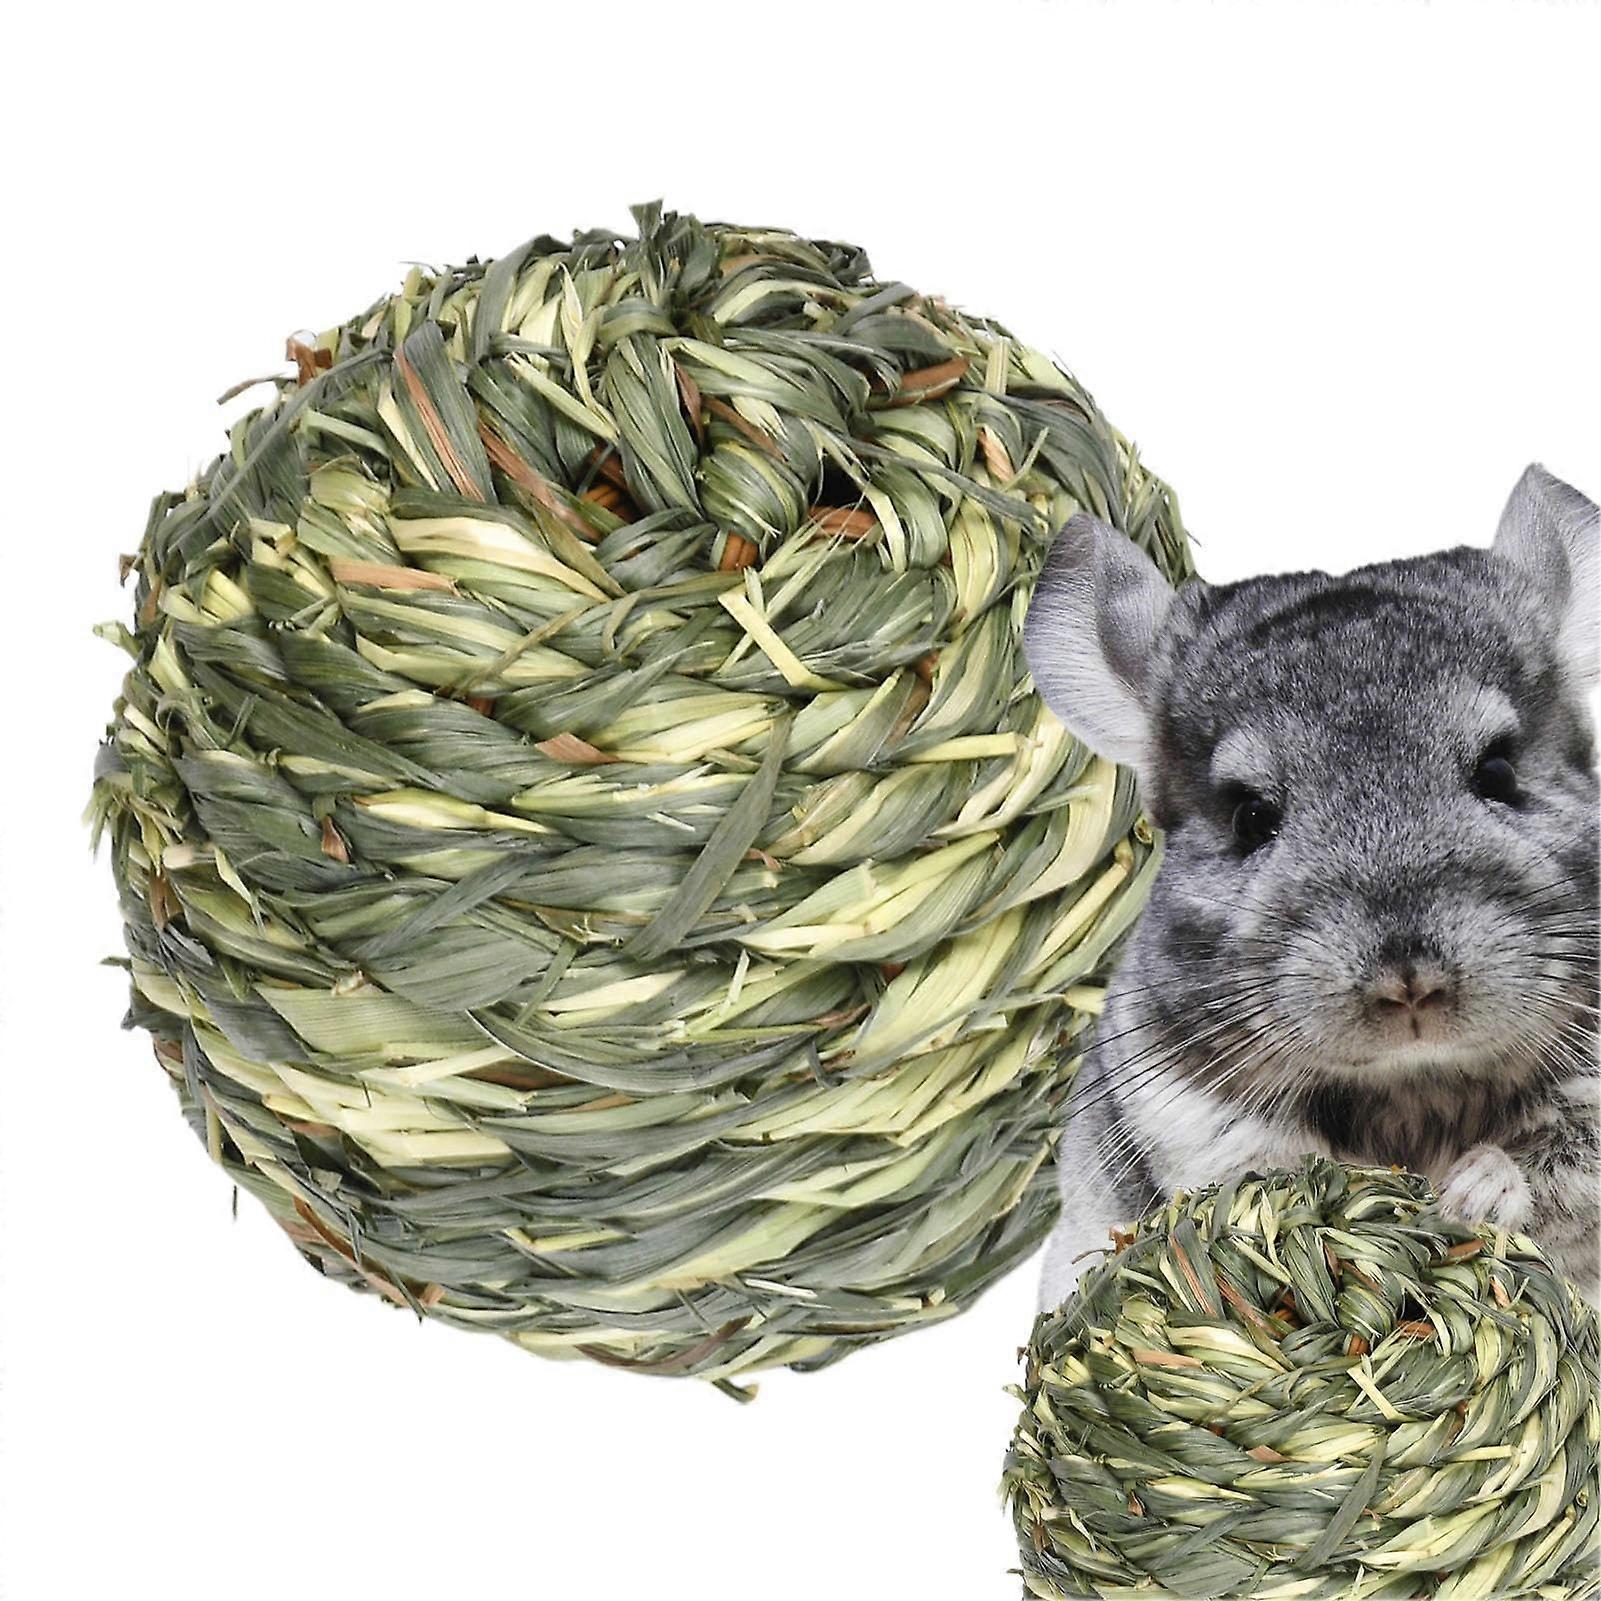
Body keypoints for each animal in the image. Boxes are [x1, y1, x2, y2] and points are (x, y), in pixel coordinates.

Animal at [1022, 463, 1600, 1311]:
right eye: (1250, 816)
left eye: (1497, 770)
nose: (1408, 984)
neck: (1413, 1084)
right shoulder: (1185, 1110)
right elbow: (1269, 1167)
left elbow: (1550, 1169)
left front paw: (1471, 1191)